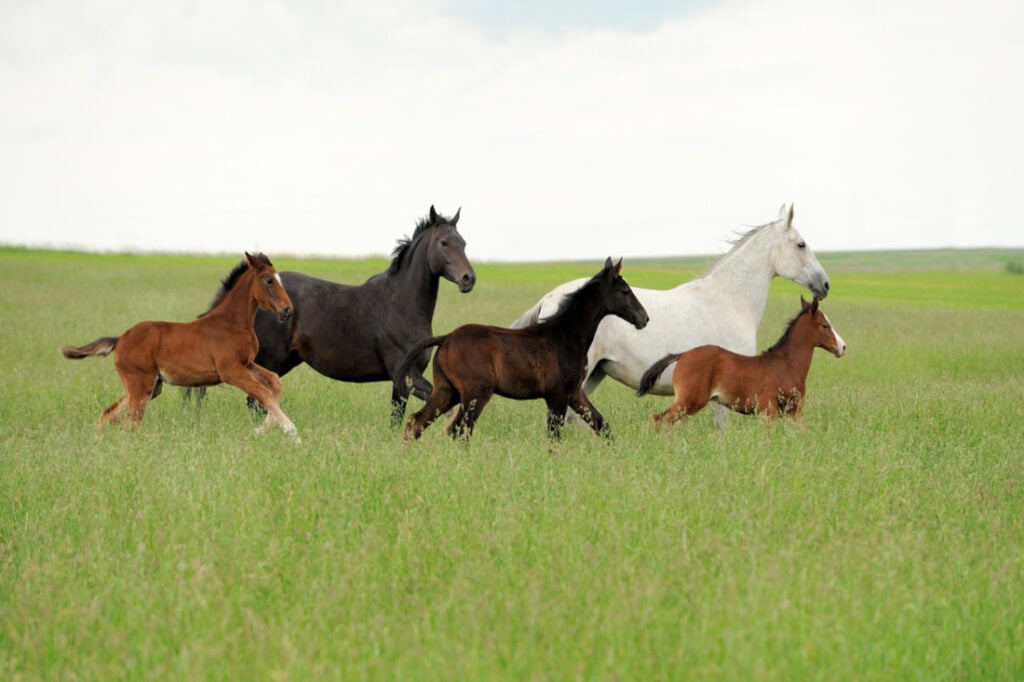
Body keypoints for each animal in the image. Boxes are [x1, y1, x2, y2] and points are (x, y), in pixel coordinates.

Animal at [61, 253, 301, 439]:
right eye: (269, 280)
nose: (287, 310)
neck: (232, 324)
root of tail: (119, 339)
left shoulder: (247, 363)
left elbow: (274, 382)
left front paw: (262, 430)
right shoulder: (231, 371)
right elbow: (264, 393)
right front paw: (292, 432)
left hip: (148, 387)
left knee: (107, 414)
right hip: (141, 386)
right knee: (131, 425)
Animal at [189, 205, 476, 425]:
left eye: (464, 243)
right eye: (443, 242)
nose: (468, 279)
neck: (402, 305)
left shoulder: (401, 381)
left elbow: (398, 417)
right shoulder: (407, 376)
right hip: (269, 360)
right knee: (256, 401)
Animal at [397, 258, 649, 442]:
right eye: (625, 291)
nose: (644, 318)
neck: (566, 336)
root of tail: (446, 338)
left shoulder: (574, 393)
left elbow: (601, 424)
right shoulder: (557, 395)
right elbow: (554, 435)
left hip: (447, 392)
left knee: (417, 422)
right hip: (475, 394)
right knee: (459, 429)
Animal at [636, 296, 846, 423]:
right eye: (825, 325)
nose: (842, 347)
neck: (786, 365)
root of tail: (683, 354)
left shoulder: (795, 410)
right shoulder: (768, 409)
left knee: (657, 419)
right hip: (688, 402)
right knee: (662, 421)